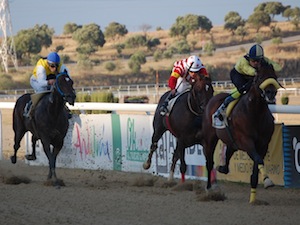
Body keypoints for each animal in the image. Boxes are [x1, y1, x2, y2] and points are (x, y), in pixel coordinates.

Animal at [203, 62, 282, 203]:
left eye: (274, 76)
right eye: (260, 77)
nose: (271, 93)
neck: (255, 112)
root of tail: (212, 99)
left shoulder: (263, 144)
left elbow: (257, 165)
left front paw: (254, 196)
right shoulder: (246, 141)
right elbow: (258, 160)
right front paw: (267, 180)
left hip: (231, 140)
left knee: (228, 151)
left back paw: (223, 168)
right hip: (210, 139)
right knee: (209, 162)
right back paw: (209, 189)